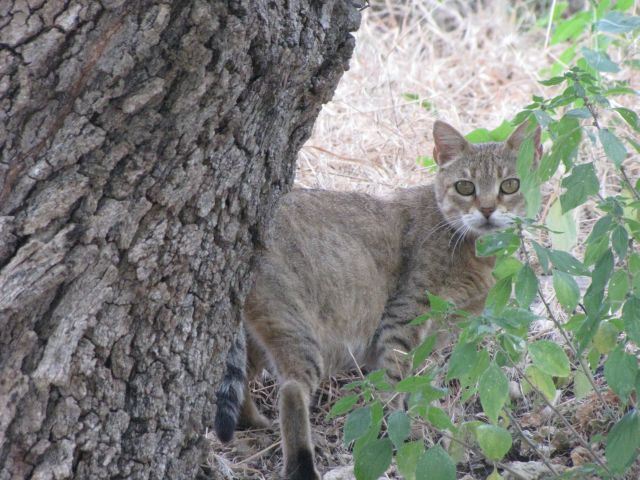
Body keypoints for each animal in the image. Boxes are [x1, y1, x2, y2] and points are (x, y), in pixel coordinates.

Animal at [214, 118, 540, 478]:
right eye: (465, 187)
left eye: (509, 185)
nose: (487, 210)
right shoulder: (403, 318)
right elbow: (395, 383)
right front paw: (399, 429)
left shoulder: (435, 339)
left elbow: (419, 385)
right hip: (296, 328)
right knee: (292, 389)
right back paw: (301, 462)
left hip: (257, 333)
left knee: (242, 379)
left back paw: (254, 423)